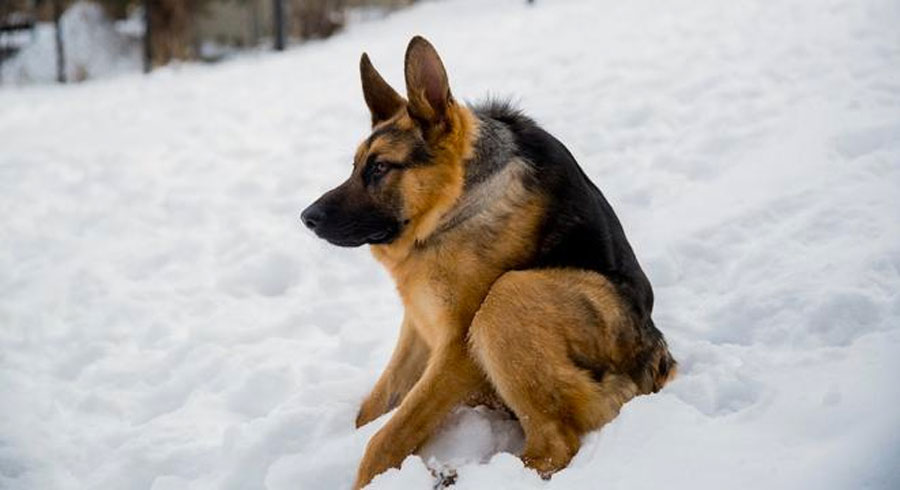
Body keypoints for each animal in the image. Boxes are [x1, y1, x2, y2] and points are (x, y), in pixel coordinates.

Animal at [302, 35, 676, 490]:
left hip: (509, 297)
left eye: (380, 168)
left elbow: (387, 436)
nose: (306, 217)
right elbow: (372, 411)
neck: (456, 202)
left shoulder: (457, 349)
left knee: (554, 443)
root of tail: (656, 364)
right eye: (356, 166)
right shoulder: (418, 324)